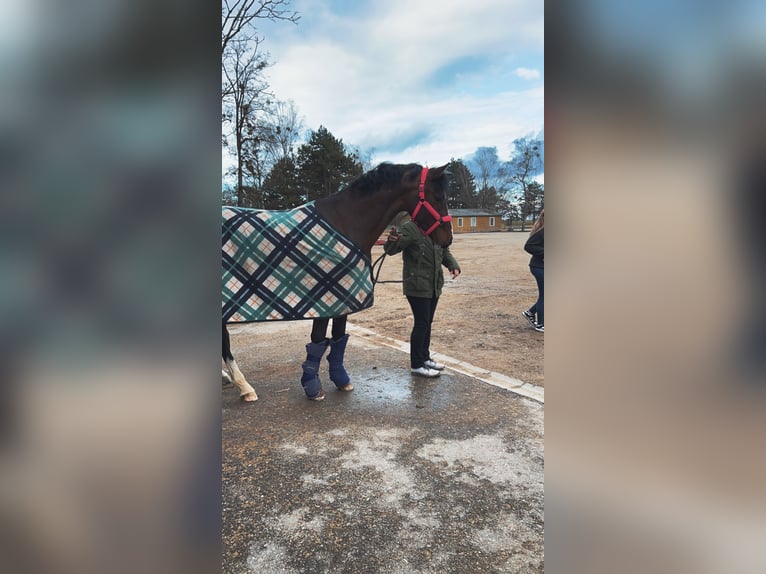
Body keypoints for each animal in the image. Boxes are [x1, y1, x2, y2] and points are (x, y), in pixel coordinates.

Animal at [222, 162, 453, 402]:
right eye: (438, 197)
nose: (447, 239)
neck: (347, 222)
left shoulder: (343, 301)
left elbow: (339, 338)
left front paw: (341, 381)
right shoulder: (324, 299)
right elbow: (317, 340)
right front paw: (312, 388)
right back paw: (245, 387)